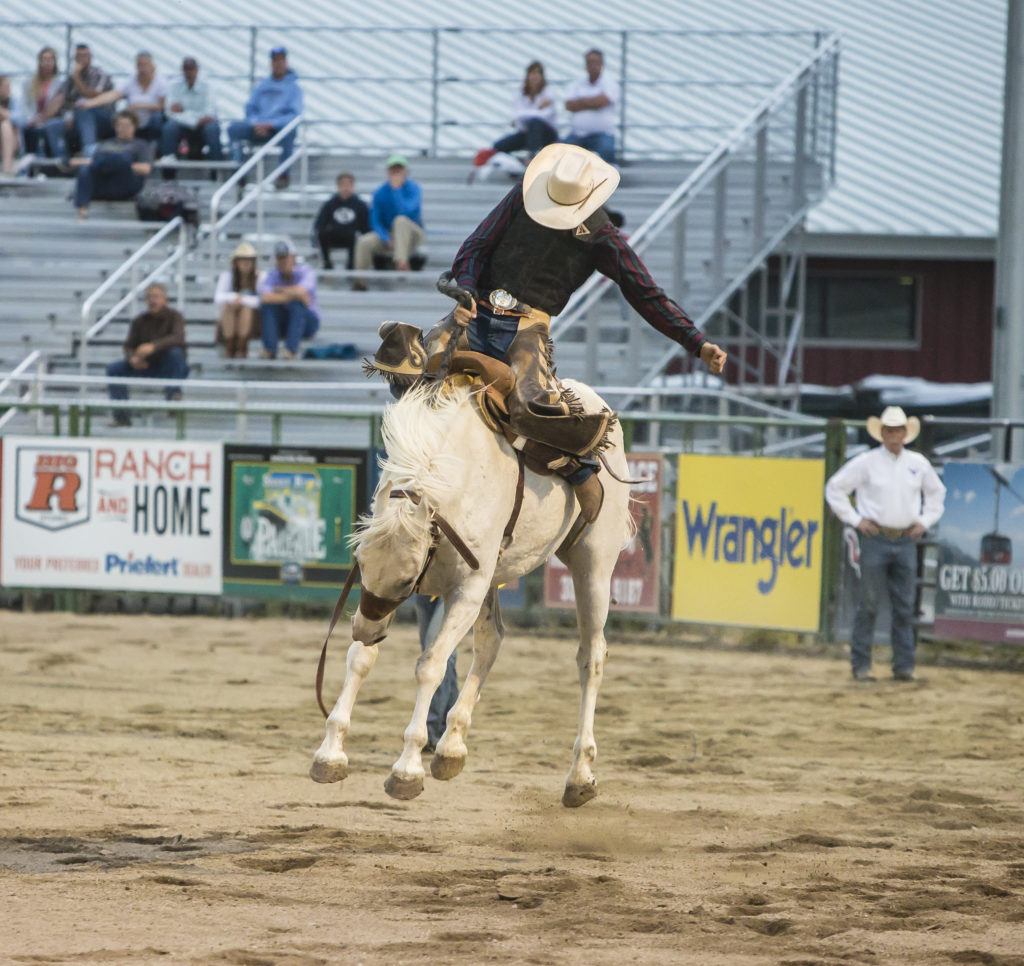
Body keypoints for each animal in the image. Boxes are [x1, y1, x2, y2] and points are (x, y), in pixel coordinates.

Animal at [311, 376, 630, 807]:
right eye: (359, 562)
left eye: (406, 580)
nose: (363, 629)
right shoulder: (389, 602)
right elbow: (360, 660)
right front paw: (330, 753)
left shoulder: (466, 591)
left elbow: (430, 666)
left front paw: (407, 768)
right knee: (491, 641)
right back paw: (451, 748)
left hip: (592, 565)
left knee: (590, 658)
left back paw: (579, 775)